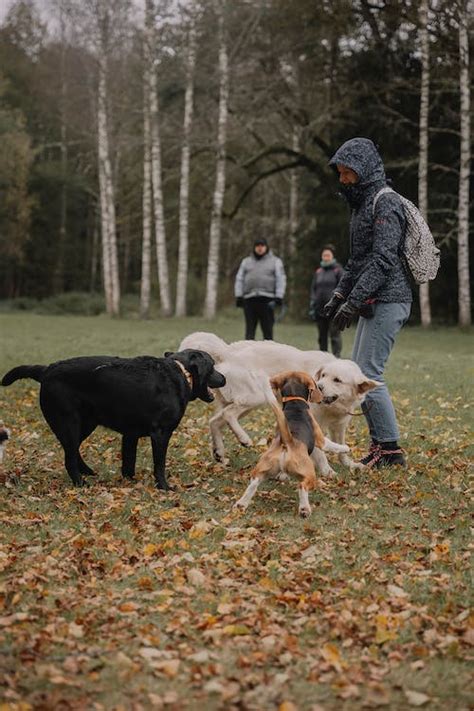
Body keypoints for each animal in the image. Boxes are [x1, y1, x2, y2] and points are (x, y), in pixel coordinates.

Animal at [1, 350, 225, 490]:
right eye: (213, 366)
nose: (224, 378)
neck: (181, 372)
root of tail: (46, 369)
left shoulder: (130, 434)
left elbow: (128, 462)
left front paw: (130, 482)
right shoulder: (161, 433)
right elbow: (159, 464)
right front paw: (164, 487)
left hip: (85, 423)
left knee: (72, 451)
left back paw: (88, 472)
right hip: (70, 423)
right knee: (69, 458)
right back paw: (81, 483)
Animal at [234, 372, 326, 516]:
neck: (294, 401)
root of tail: (287, 441)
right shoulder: (320, 439)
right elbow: (331, 445)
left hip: (263, 468)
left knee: (254, 482)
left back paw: (241, 503)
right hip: (310, 475)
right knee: (302, 486)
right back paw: (304, 509)